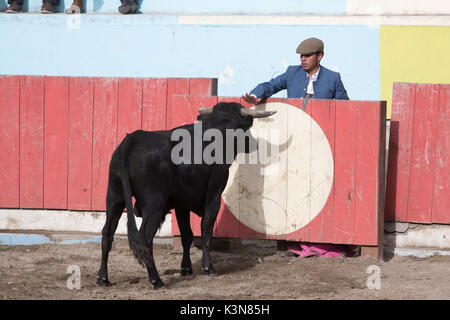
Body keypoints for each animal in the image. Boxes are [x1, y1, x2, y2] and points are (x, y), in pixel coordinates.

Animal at [96, 102, 276, 290]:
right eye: (246, 128)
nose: (253, 144)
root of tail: (131, 140)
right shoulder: (213, 197)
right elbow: (205, 231)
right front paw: (208, 268)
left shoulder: (181, 205)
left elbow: (187, 235)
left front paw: (186, 268)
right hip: (154, 205)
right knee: (145, 238)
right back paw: (156, 280)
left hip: (114, 198)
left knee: (107, 233)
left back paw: (103, 278)